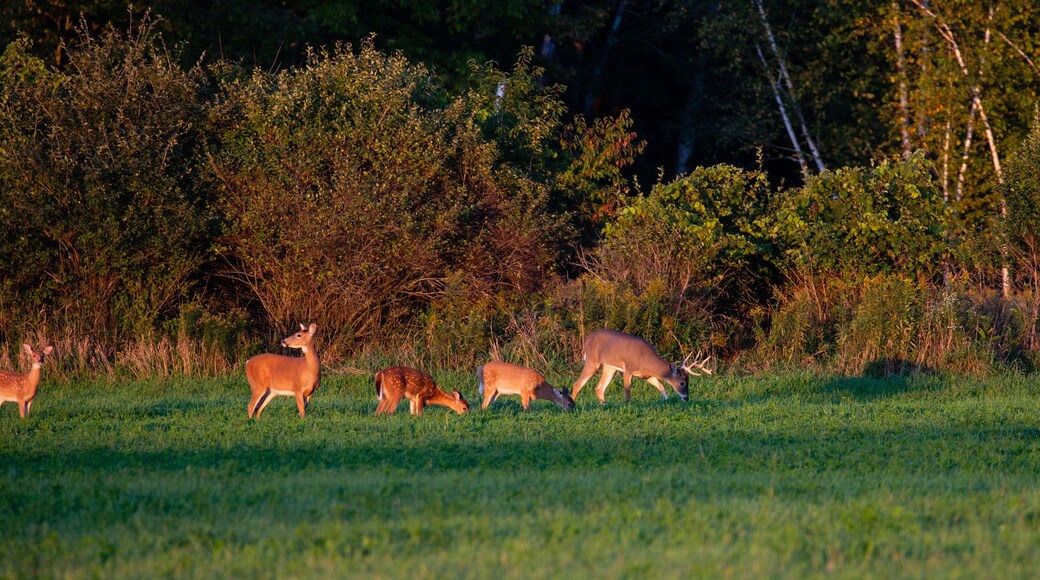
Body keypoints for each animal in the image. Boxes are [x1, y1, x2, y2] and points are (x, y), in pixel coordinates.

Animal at [571, 329, 712, 403]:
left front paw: (667, 401)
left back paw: (604, 405)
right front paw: (627, 405)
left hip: (610, 367)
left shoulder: (647, 375)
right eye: (682, 382)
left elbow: (661, 386)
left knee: (599, 387)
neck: (645, 360)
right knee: (577, 384)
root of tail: (587, 339)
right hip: (592, 361)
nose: (686, 398)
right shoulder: (628, 368)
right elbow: (627, 390)